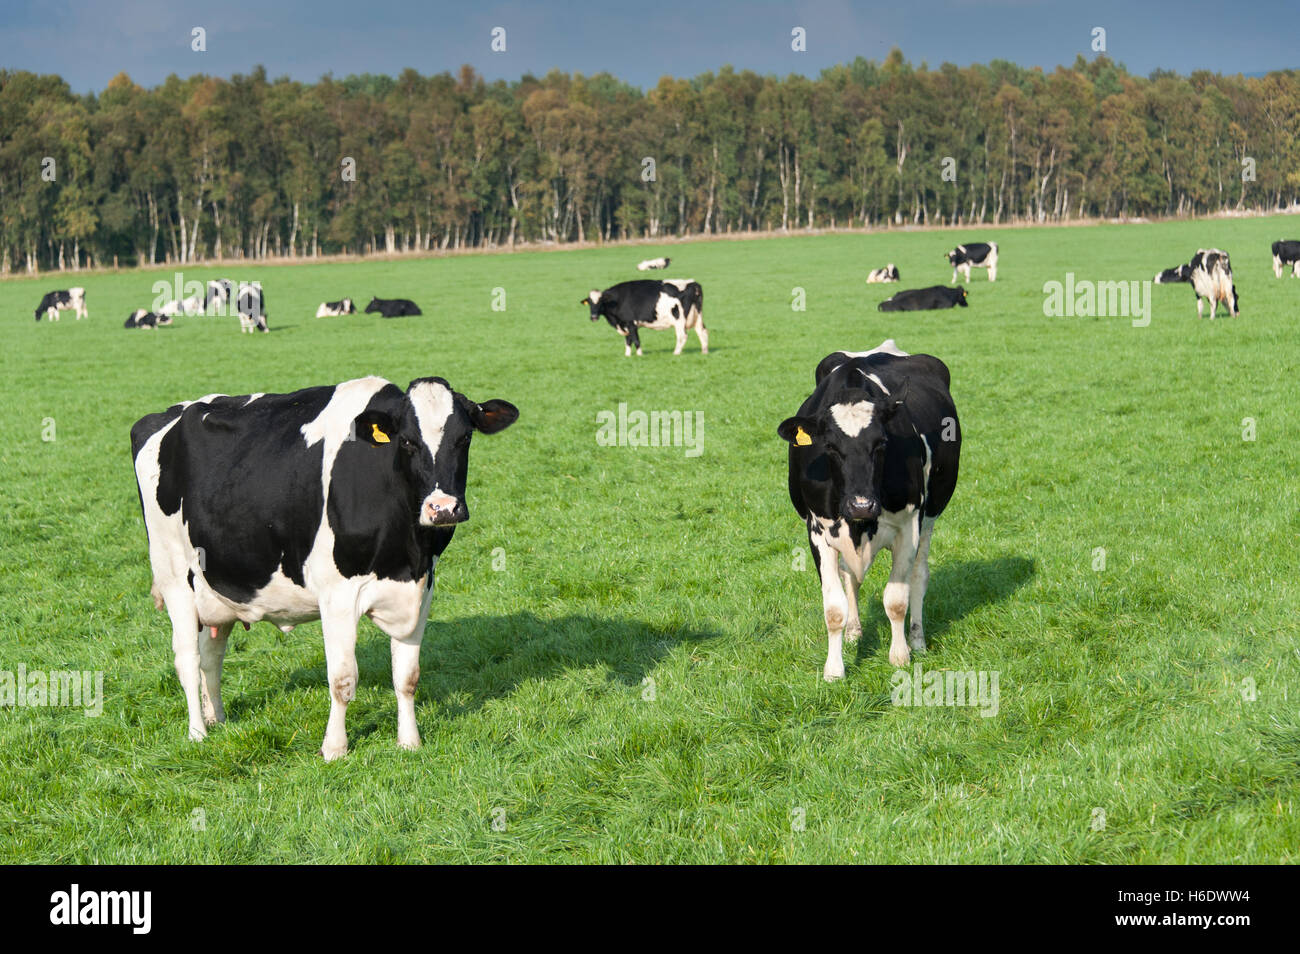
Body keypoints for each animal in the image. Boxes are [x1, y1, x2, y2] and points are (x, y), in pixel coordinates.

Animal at [130, 375, 519, 758]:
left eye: (464, 437)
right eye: (407, 441)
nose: (443, 508)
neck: (407, 552)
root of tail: (166, 414)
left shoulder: (421, 588)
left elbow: (407, 677)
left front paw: (409, 741)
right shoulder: (338, 596)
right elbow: (343, 679)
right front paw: (335, 748)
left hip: (217, 585)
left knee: (210, 655)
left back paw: (217, 718)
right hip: (174, 574)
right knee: (187, 658)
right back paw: (197, 733)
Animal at [778, 339, 961, 681]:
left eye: (882, 443)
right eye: (830, 447)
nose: (861, 505)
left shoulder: (908, 525)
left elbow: (896, 600)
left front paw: (900, 656)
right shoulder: (817, 531)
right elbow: (834, 608)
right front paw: (834, 669)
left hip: (930, 515)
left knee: (920, 575)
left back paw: (917, 640)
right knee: (850, 578)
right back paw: (854, 632)